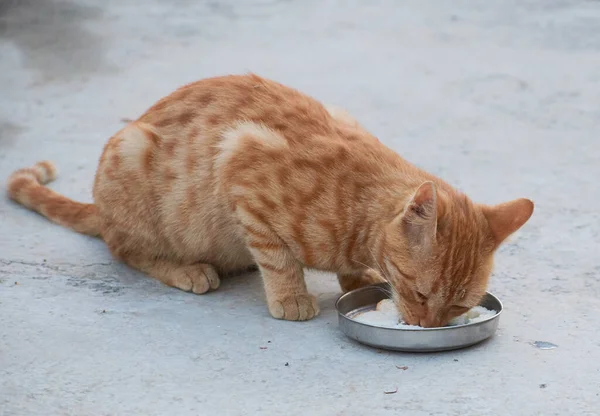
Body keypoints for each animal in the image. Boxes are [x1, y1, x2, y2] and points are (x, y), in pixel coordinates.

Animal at [7, 73, 536, 326]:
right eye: (422, 295)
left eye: (457, 305)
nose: (428, 327)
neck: (355, 215)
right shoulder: (241, 166)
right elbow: (278, 257)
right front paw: (292, 297)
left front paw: (357, 278)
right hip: (131, 156)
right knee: (123, 248)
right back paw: (185, 269)